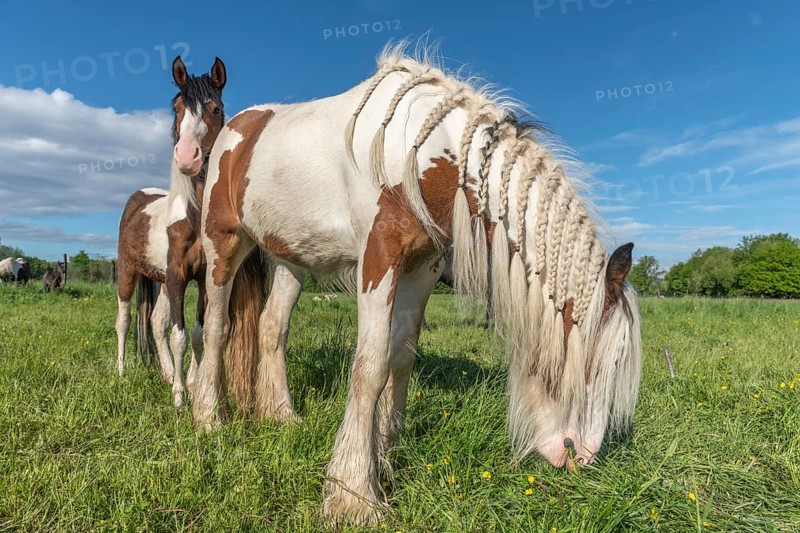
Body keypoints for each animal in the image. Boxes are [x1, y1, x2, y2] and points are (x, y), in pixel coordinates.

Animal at [191, 44, 642, 524]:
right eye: (595, 363)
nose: (580, 457)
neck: (423, 151)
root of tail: (237, 127)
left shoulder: (423, 267)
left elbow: (401, 358)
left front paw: (387, 452)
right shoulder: (379, 258)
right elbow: (370, 367)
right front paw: (354, 494)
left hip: (290, 261)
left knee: (271, 328)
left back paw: (281, 417)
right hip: (223, 244)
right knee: (216, 328)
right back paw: (209, 419)